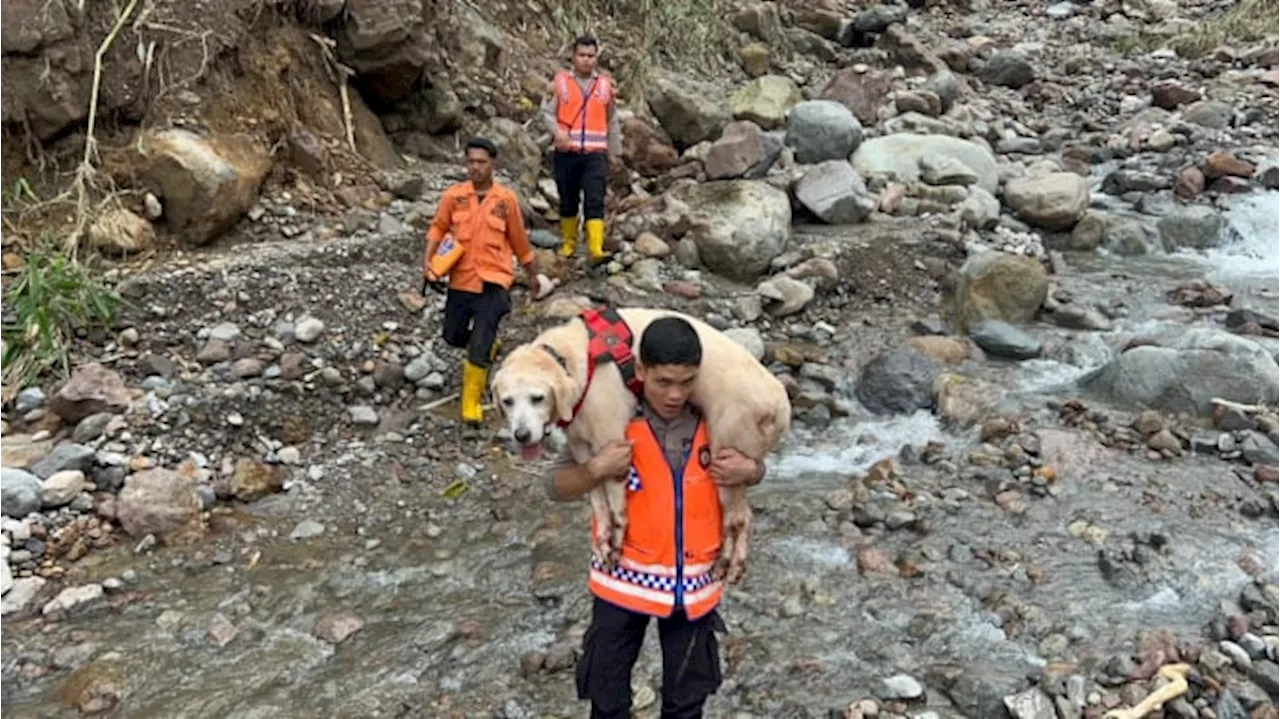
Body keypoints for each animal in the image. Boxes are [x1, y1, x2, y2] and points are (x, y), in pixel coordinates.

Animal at [488, 303, 788, 583]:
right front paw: (604, 539)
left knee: (736, 520)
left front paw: (618, 539)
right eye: (507, 401)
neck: (575, 359)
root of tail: (780, 404)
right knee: (745, 516)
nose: (521, 435)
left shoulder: (611, 439)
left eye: (537, 398)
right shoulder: (583, 447)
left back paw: (726, 562)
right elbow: (597, 500)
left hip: (726, 455)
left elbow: (616, 505)